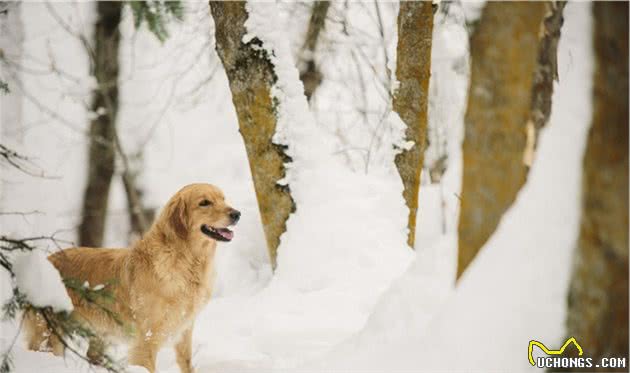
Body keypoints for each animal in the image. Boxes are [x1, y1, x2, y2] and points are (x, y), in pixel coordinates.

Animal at [24, 183, 239, 372]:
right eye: (205, 202)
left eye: (223, 198)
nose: (237, 214)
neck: (184, 259)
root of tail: (44, 259)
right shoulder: (146, 339)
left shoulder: (184, 332)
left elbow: (186, 364)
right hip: (47, 335)